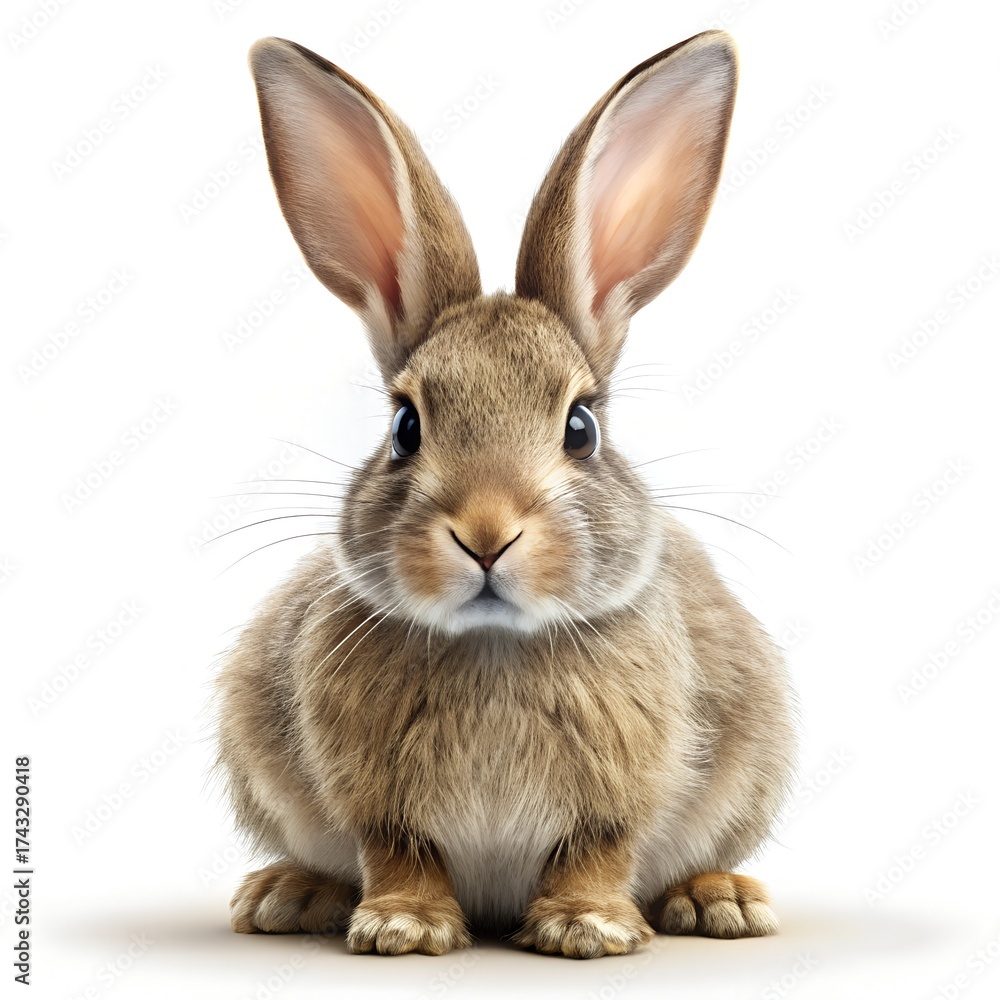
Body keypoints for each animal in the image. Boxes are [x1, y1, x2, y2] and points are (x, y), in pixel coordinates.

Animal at [214, 29, 798, 959]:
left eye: (581, 428)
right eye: (405, 427)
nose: (487, 532)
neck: (494, 645)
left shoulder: (619, 792)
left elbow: (598, 849)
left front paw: (587, 927)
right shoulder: (379, 802)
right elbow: (399, 850)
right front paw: (404, 928)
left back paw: (720, 901)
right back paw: (288, 894)